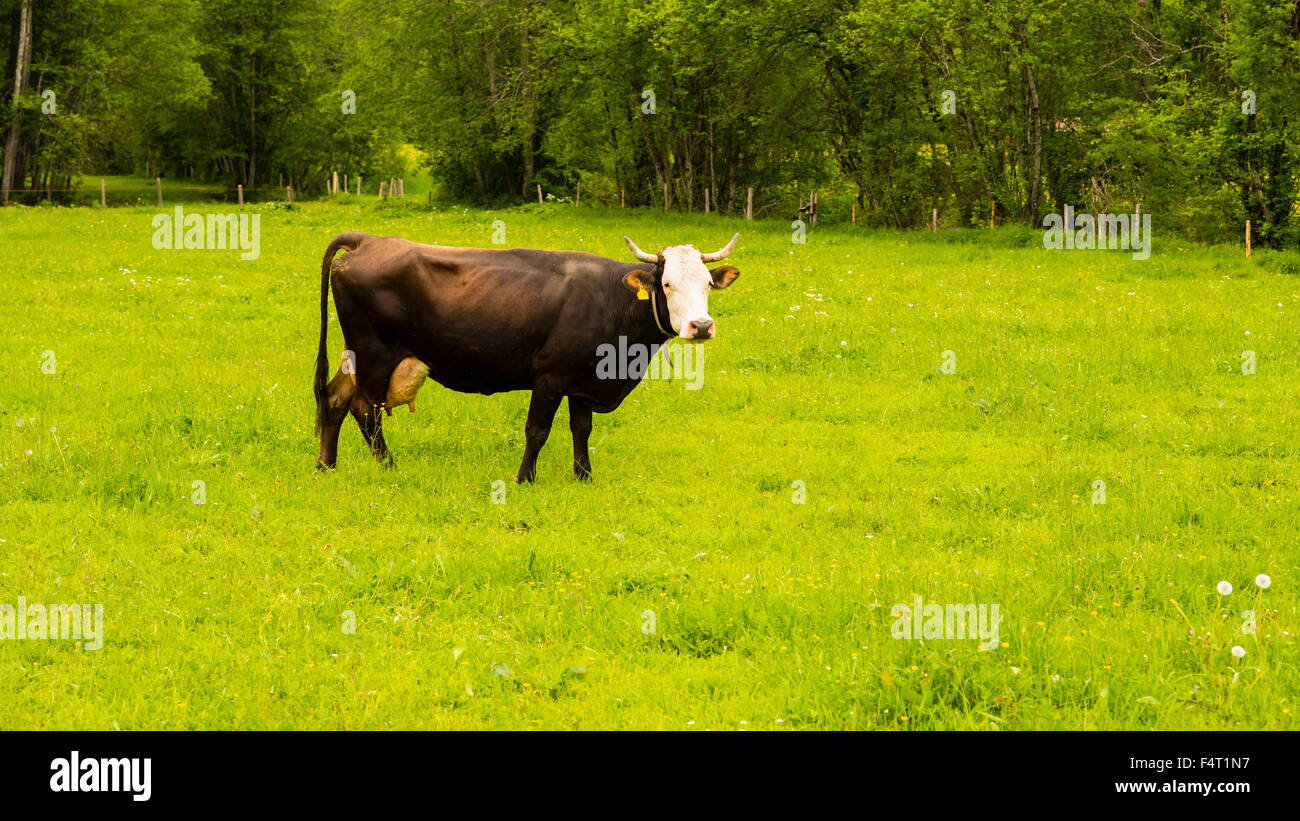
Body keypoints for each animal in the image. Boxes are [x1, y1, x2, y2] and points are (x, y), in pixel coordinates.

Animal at [313, 231, 741, 482]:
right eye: (666, 283)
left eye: (707, 283)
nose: (701, 326)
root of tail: (369, 240)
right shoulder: (549, 376)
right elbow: (537, 430)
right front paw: (524, 478)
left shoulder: (584, 382)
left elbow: (581, 429)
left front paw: (583, 477)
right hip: (375, 354)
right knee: (364, 410)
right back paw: (389, 467)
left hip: (355, 355)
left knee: (334, 399)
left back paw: (326, 465)